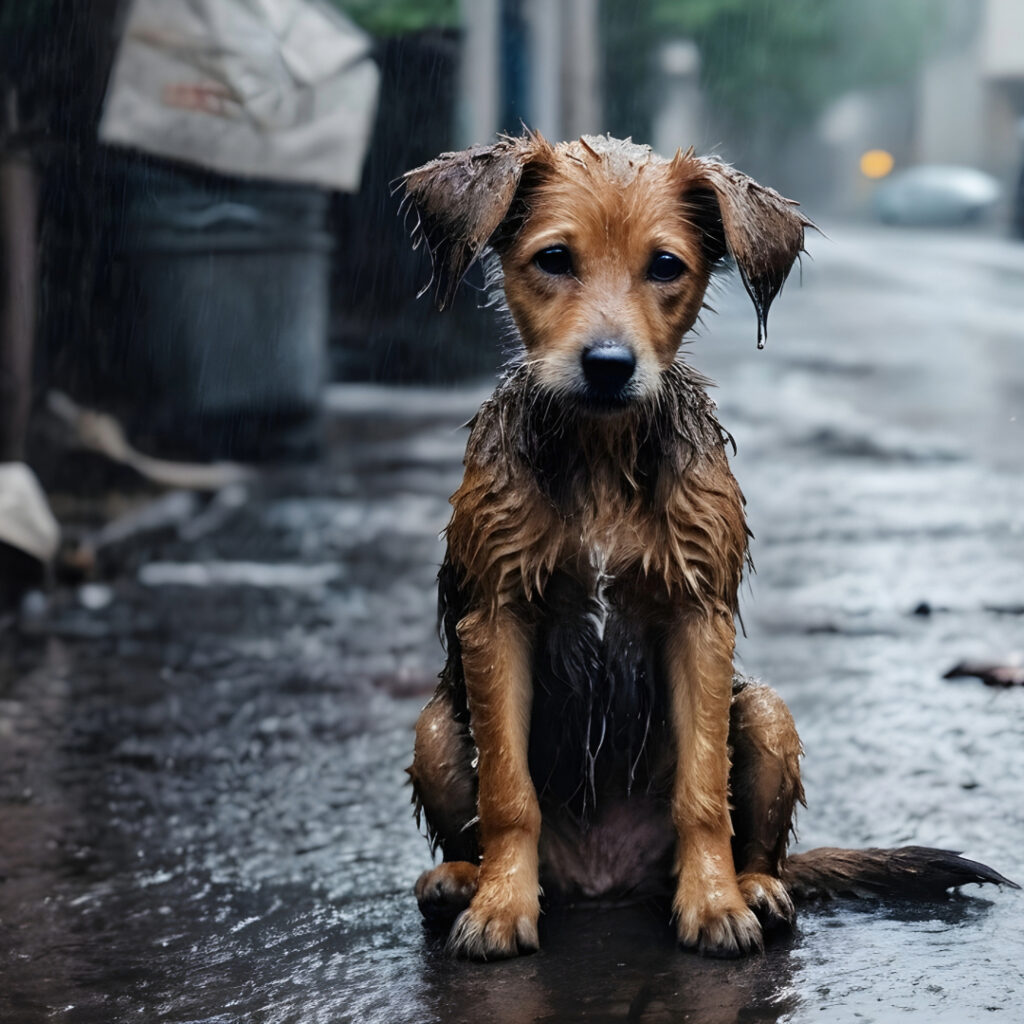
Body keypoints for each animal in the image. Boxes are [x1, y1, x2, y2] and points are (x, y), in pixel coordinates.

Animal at [399, 134, 1015, 958]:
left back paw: (755, 887)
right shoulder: (496, 614)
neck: (602, 454)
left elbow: (702, 789)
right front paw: (501, 905)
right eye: (554, 258)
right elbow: (507, 791)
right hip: (436, 727)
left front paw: (715, 902)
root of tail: (603, 884)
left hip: (767, 713)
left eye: (665, 266)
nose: (609, 365)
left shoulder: (698, 613)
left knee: (764, 842)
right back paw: (460, 880)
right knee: (465, 804)